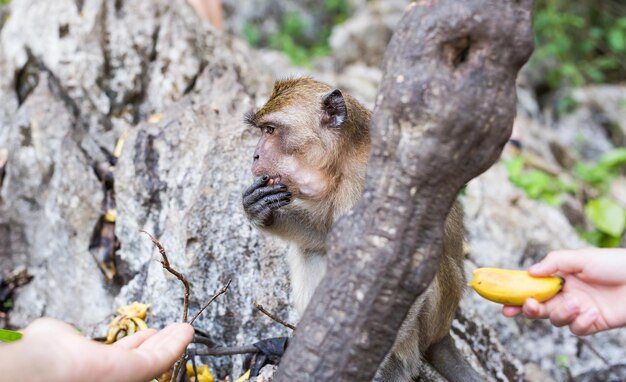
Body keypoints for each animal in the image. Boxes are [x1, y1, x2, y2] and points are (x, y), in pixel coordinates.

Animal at [241, 78, 480, 382]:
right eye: (262, 130)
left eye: (270, 130)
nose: (255, 155)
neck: (344, 160)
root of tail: (444, 332)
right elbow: (325, 237)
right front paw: (261, 211)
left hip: (434, 317)